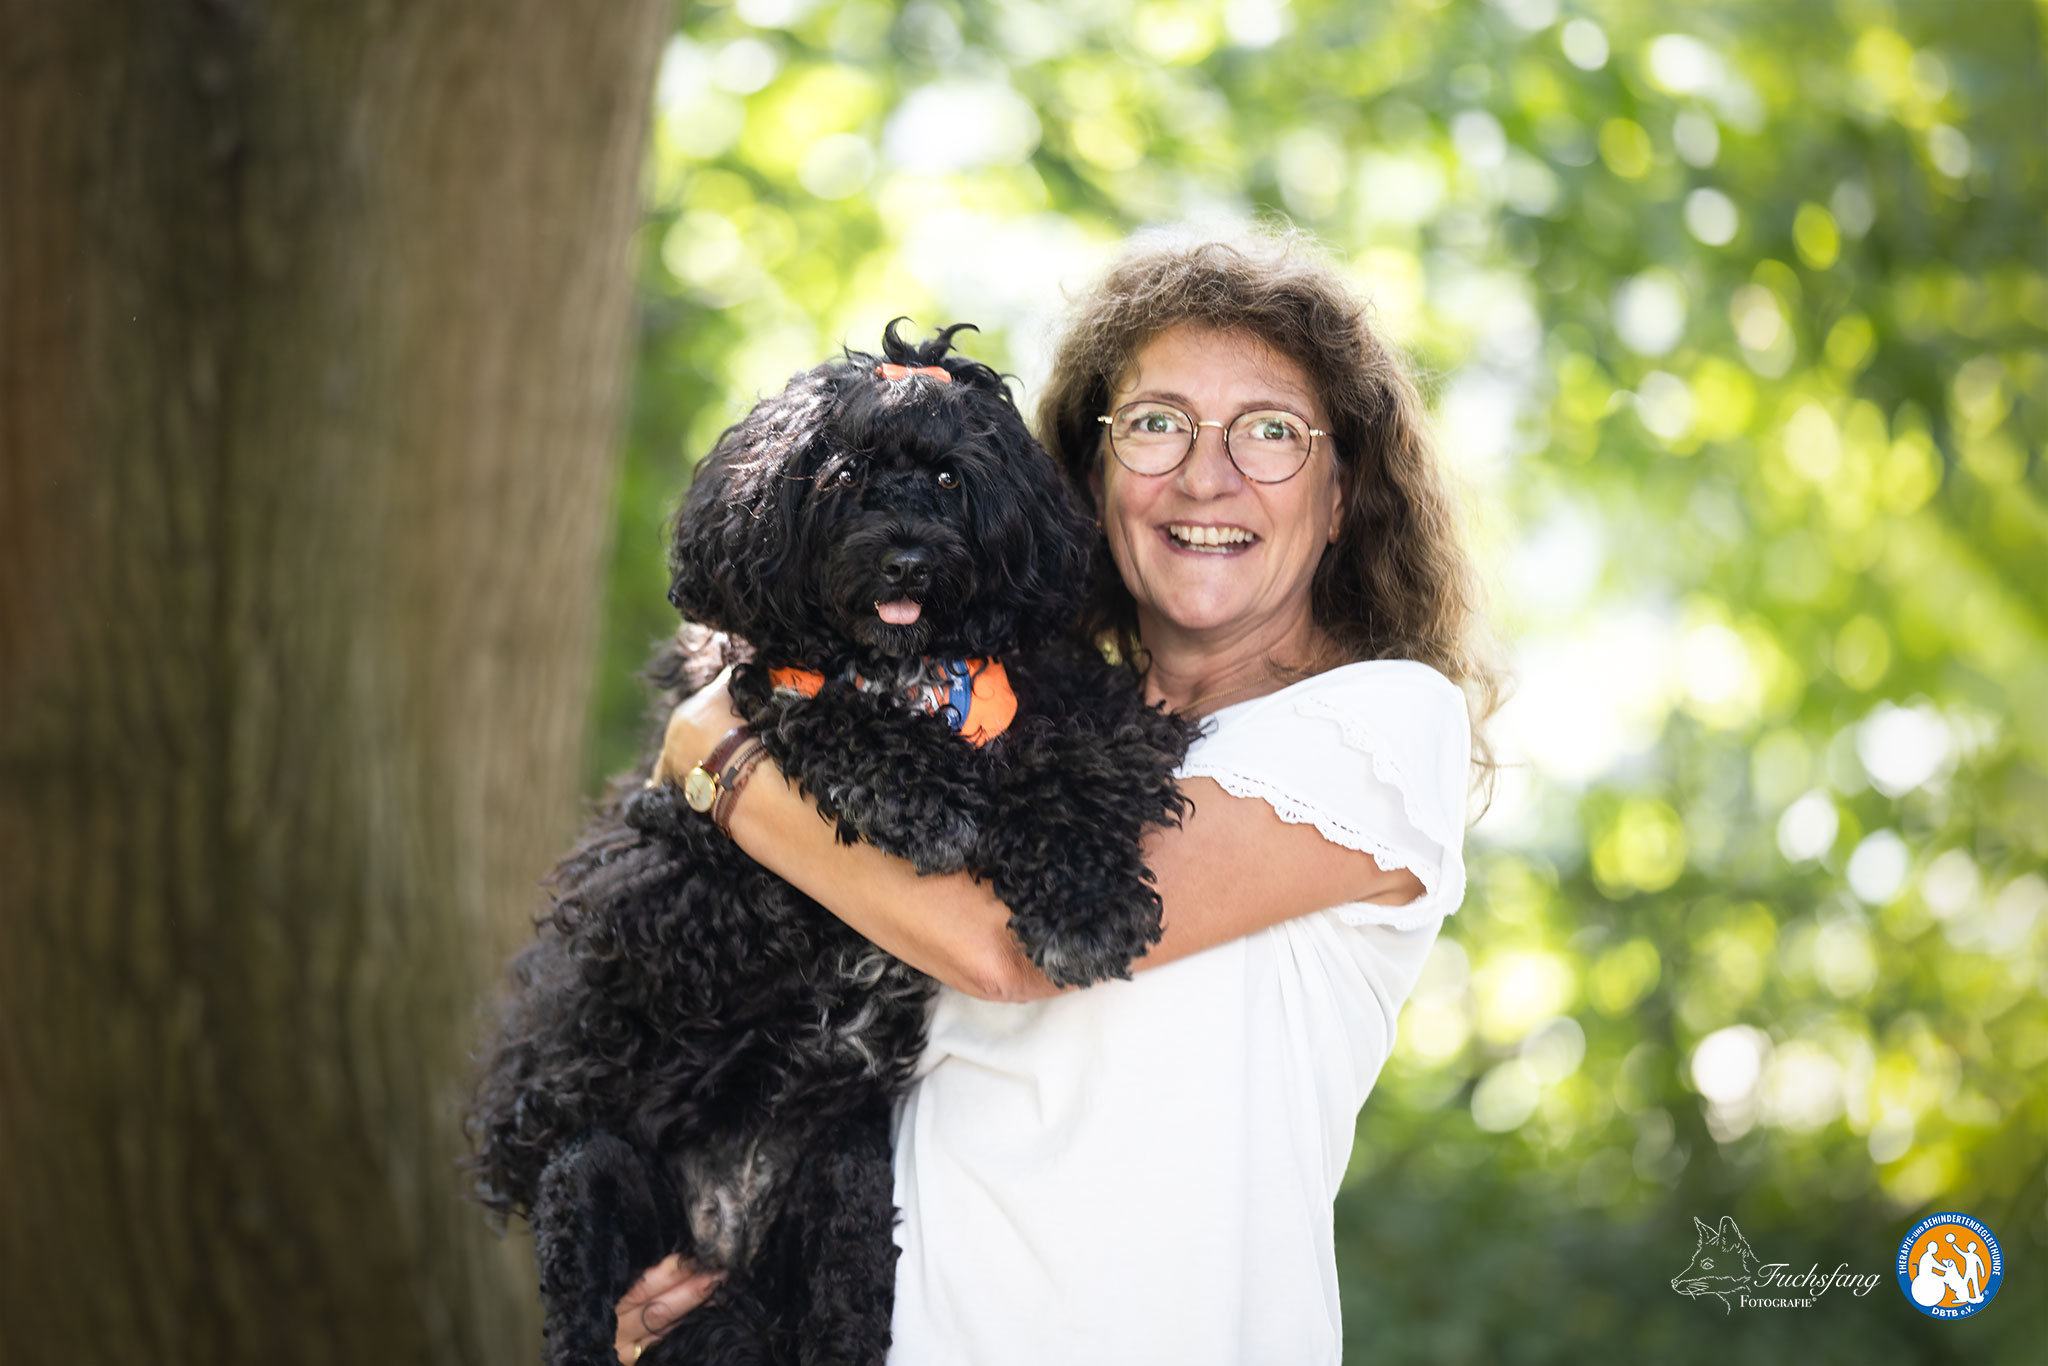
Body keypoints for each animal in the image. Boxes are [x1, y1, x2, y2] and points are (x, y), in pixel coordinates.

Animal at [460, 323, 1196, 1366]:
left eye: (946, 477)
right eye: (846, 475)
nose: (907, 560)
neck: (917, 673)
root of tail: (722, 1236)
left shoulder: (1087, 708)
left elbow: (1072, 766)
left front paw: (1086, 903)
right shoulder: (680, 856)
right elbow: (814, 707)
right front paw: (919, 795)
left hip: (845, 1186)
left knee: (842, 1313)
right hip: (592, 1166)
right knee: (578, 1282)